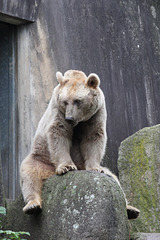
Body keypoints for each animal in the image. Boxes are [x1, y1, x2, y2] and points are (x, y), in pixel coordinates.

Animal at [20, 70, 139, 219]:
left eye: (78, 101)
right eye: (65, 102)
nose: (69, 118)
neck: (80, 120)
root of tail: (50, 173)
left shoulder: (96, 114)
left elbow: (94, 137)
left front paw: (94, 168)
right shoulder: (58, 111)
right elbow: (59, 133)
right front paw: (67, 167)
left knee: (114, 179)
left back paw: (131, 209)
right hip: (40, 159)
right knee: (29, 176)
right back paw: (32, 205)